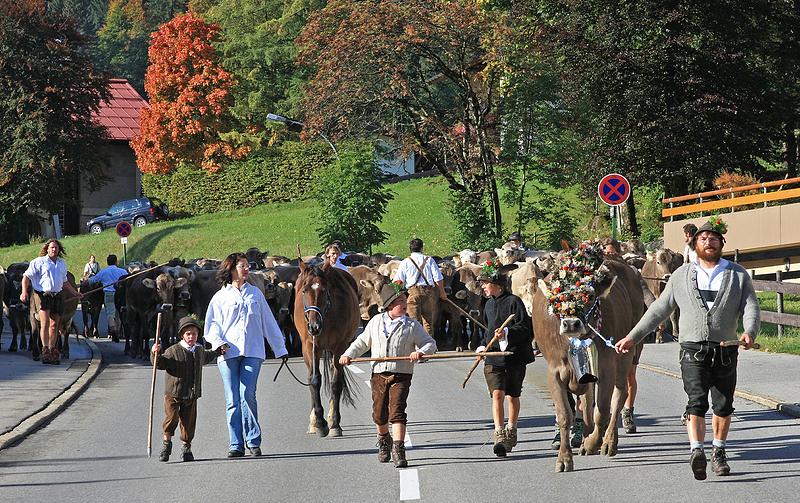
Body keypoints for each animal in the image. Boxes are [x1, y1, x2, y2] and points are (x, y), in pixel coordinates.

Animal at [294, 262, 360, 440]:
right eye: (304, 290)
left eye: (324, 290)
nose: (314, 326)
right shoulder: (310, 346)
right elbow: (314, 380)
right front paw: (319, 422)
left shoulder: (340, 347)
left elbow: (336, 383)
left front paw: (334, 423)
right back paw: (313, 422)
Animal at [536, 256, 648, 472]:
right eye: (557, 297)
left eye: (588, 295)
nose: (571, 323)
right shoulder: (554, 372)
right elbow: (565, 415)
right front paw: (564, 458)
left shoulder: (606, 367)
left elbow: (602, 411)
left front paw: (591, 444)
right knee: (587, 403)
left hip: (626, 354)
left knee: (619, 396)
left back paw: (608, 442)